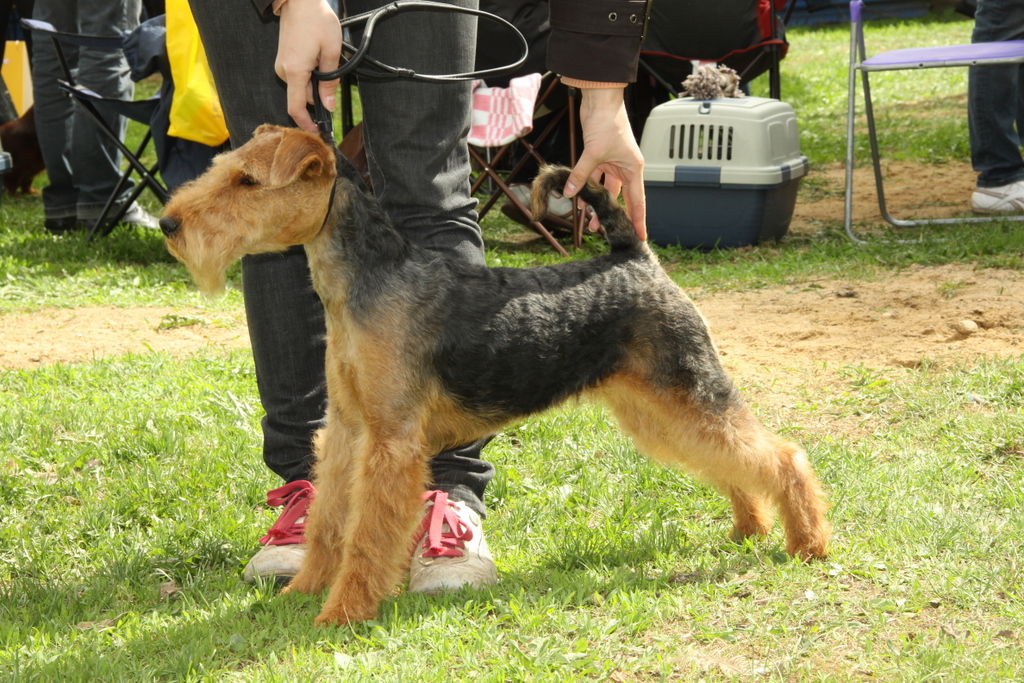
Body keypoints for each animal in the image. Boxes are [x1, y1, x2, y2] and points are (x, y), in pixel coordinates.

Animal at [159, 124, 830, 626]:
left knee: (782, 456)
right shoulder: (348, 430)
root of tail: (635, 257)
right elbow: (329, 523)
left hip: (688, 392)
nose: (169, 225)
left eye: (248, 180)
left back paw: (808, 543)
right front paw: (301, 591)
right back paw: (750, 527)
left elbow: (365, 536)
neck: (363, 281)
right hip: (657, 411)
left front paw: (341, 613)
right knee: (735, 463)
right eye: (224, 168)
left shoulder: (391, 442)